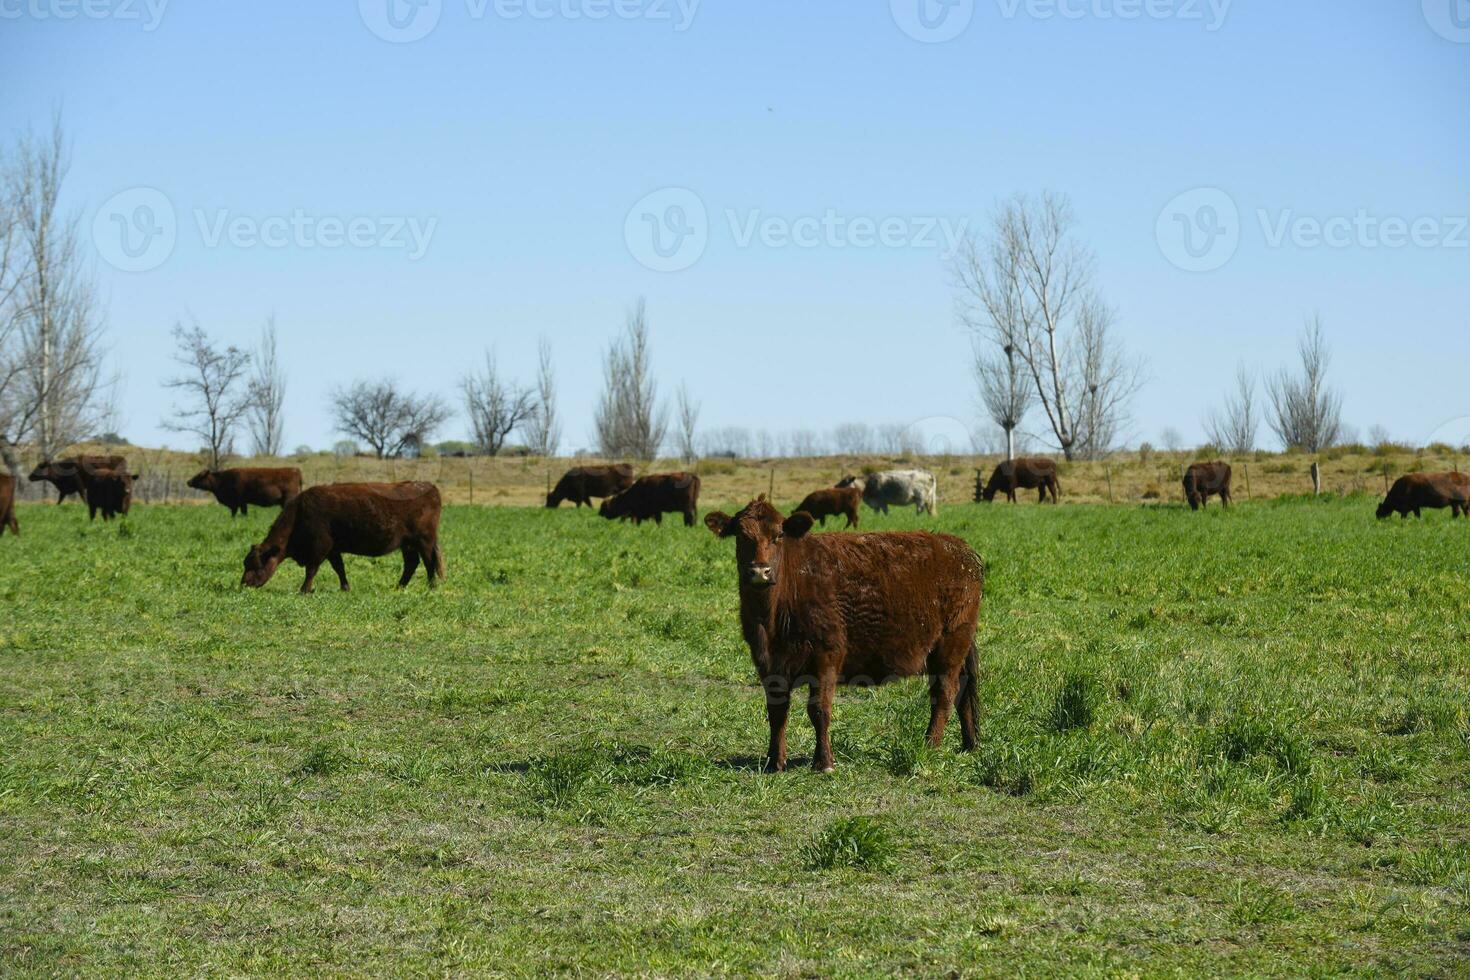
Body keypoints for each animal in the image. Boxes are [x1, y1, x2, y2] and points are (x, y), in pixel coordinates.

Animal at [241, 481, 443, 593]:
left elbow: (311, 570)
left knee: (429, 562)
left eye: (257, 565)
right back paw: (399, 587)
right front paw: (345, 588)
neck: (300, 513)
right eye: (245, 564)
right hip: (407, 544)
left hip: (424, 541)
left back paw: (432, 587)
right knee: (411, 564)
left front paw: (304, 590)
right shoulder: (333, 549)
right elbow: (339, 568)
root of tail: (428, 486)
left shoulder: (320, 547)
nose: (244, 583)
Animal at [702, 499, 981, 775]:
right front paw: (774, 761)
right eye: (741, 535)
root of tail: (960, 548)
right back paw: (969, 744)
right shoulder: (767, 662)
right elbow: (777, 711)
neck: (772, 619)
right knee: (962, 691)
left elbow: (819, 709)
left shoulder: (826, 655)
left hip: (951, 644)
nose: (760, 572)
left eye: (778, 535)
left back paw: (930, 745)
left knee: (944, 693)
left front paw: (824, 762)